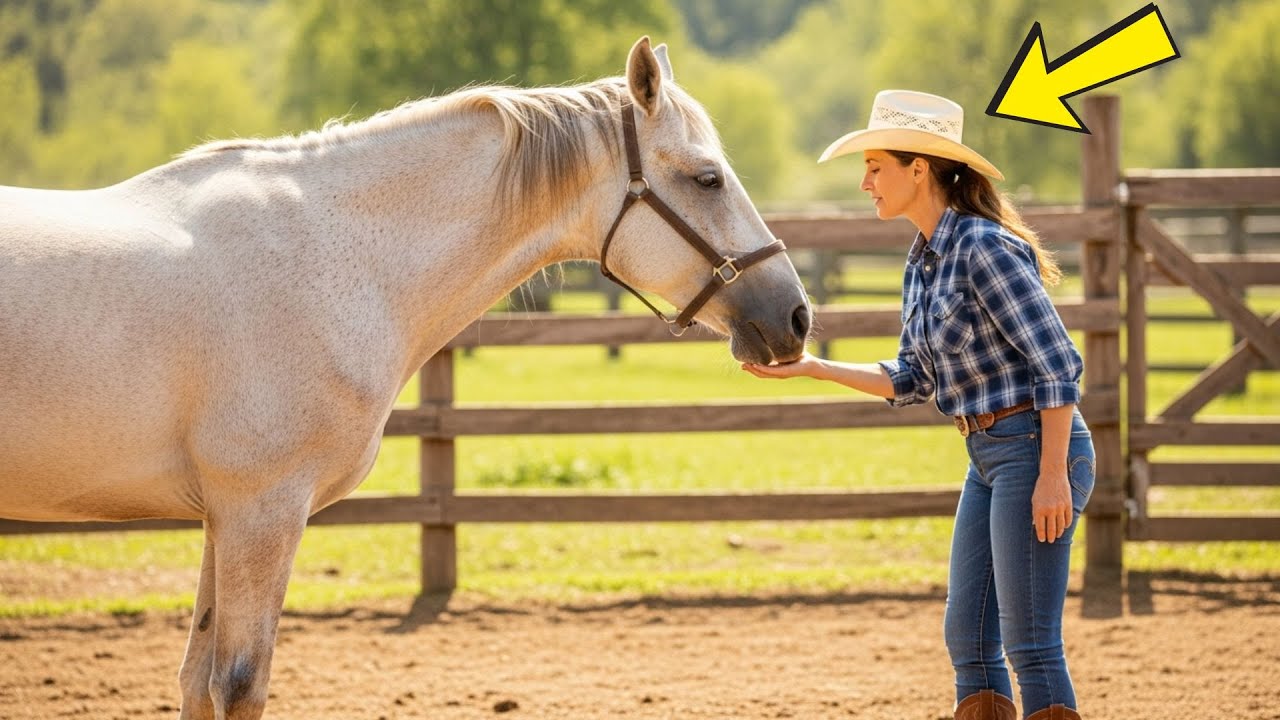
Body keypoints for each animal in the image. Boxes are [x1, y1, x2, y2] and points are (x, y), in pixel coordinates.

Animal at [0, 37, 810, 719]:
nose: (796, 317)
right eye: (707, 178)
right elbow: (238, 684)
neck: (330, 259)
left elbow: (199, 682)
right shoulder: (262, 511)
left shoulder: (223, 515)